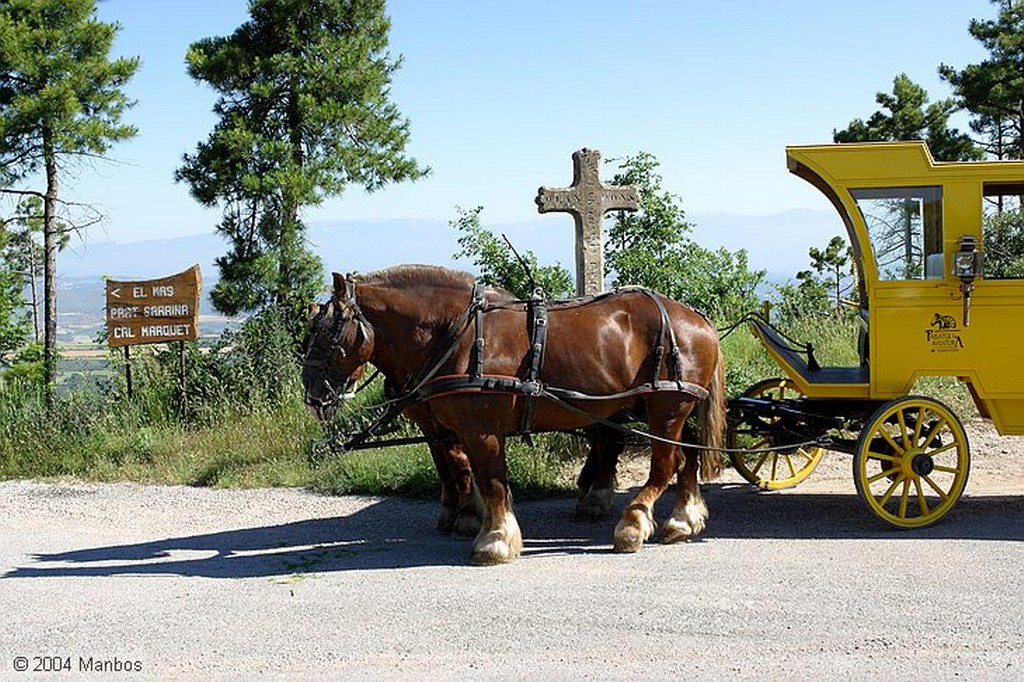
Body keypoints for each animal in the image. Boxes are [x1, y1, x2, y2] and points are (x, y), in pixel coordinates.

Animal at [299, 262, 724, 565]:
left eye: (328, 332)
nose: (312, 391)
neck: (458, 334)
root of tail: (697, 318)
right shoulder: (452, 427)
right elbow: (469, 474)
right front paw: (477, 522)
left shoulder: (480, 428)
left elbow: (490, 481)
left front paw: (494, 539)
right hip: (665, 409)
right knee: (686, 458)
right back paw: (682, 519)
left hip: (666, 408)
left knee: (665, 464)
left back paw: (632, 525)